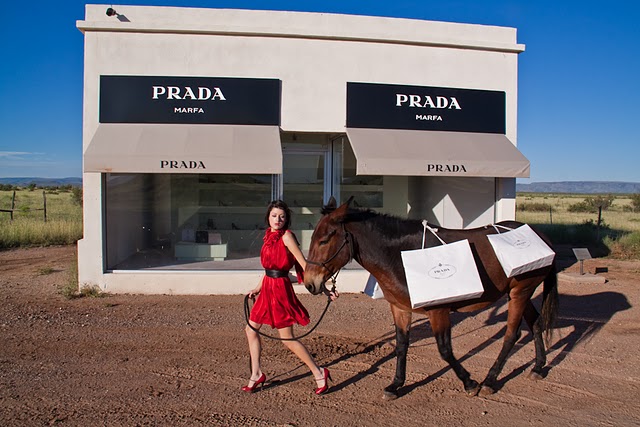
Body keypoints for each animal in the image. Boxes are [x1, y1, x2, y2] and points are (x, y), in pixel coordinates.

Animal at [302, 198, 556, 402]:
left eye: (325, 239)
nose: (309, 283)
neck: (400, 255)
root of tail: (541, 236)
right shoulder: (400, 308)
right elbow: (401, 346)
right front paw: (395, 385)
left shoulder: (438, 311)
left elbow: (445, 350)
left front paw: (469, 382)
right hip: (520, 293)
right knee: (535, 323)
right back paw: (538, 367)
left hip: (520, 292)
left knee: (512, 334)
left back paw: (490, 381)